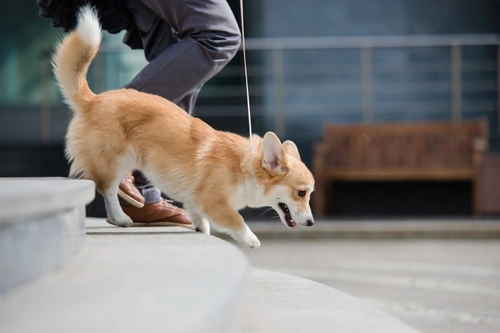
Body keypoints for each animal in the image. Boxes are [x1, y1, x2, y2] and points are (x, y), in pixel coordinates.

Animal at [51, 6, 316, 248]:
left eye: (310, 194)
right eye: (301, 193)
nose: (312, 223)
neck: (246, 166)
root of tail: (93, 100)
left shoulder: (195, 201)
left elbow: (200, 217)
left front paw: (202, 229)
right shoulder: (214, 202)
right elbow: (236, 219)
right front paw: (250, 239)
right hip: (118, 158)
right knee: (107, 188)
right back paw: (120, 217)